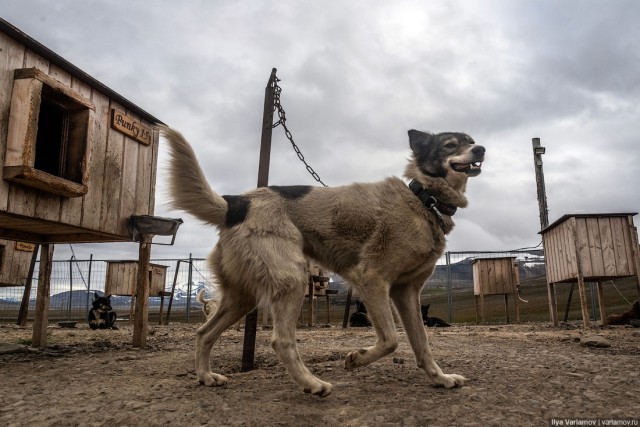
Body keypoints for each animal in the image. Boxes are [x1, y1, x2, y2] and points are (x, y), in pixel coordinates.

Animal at [162, 127, 482, 398]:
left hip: (242, 297)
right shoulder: (373, 279)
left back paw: (205, 376)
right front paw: (357, 359)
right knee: (281, 341)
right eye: (450, 144)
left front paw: (440, 378)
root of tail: (237, 204)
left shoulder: (407, 292)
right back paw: (311, 384)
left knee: (204, 333)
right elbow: (391, 340)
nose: (481, 149)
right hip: (292, 280)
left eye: (471, 140)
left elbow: (422, 343)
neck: (424, 200)